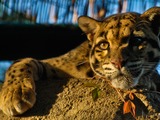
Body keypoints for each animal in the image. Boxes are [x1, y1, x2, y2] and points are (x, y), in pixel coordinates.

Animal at [0, 6, 160, 116]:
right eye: (104, 45)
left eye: (137, 40)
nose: (118, 63)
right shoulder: (59, 65)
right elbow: (23, 62)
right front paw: (14, 95)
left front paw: (150, 80)